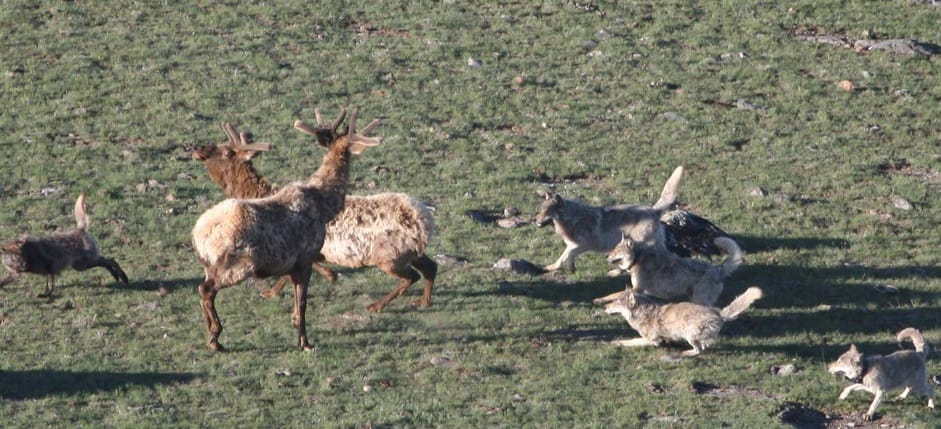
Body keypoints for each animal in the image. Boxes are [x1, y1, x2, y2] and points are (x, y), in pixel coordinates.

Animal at [191, 107, 382, 352]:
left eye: (225, 150)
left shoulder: (294, 265)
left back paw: (211, 334)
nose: (196, 148)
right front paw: (305, 342)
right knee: (205, 289)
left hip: (211, 265)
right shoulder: (305, 259)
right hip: (237, 264)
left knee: (203, 289)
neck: (326, 205)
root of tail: (199, 234)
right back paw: (215, 336)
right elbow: (302, 304)